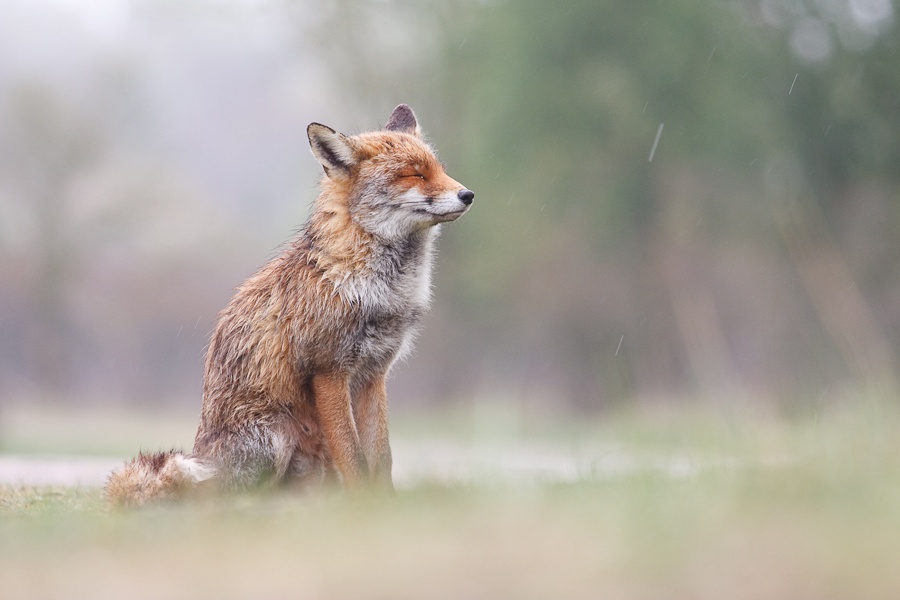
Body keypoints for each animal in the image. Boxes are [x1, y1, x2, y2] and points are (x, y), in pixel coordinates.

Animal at [106, 104, 474, 506]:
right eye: (413, 174)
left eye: (439, 169)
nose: (468, 194)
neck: (375, 288)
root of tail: (204, 454)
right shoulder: (329, 371)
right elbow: (355, 457)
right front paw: (364, 510)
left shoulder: (374, 374)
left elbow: (382, 458)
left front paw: (385, 505)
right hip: (275, 439)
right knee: (221, 496)